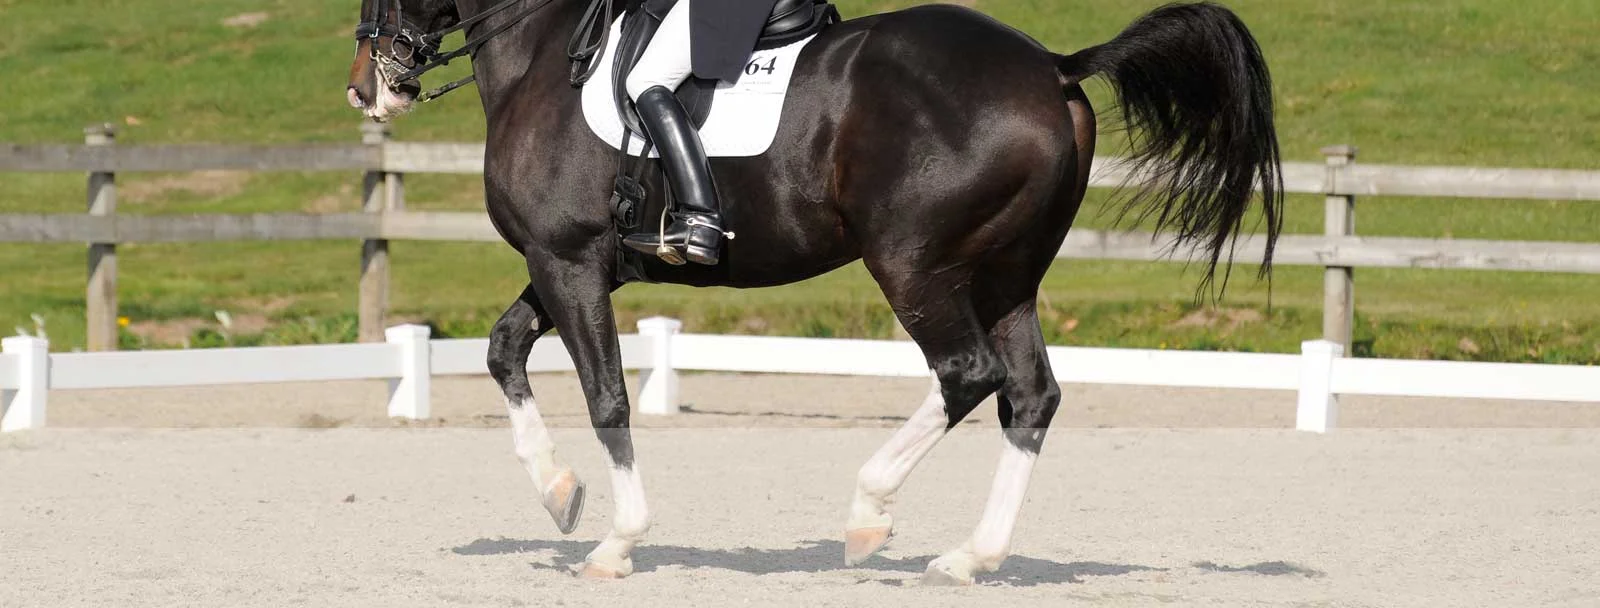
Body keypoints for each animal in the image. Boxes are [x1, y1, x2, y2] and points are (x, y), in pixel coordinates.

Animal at [345, 0, 1283, 585]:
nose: (367, 85)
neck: (545, 55)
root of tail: (1050, 66)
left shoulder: (568, 261)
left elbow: (607, 394)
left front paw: (617, 541)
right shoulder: (577, 263)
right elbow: (505, 350)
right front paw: (557, 492)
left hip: (915, 263)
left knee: (968, 374)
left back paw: (869, 514)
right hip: (1007, 276)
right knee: (1029, 396)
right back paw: (969, 557)